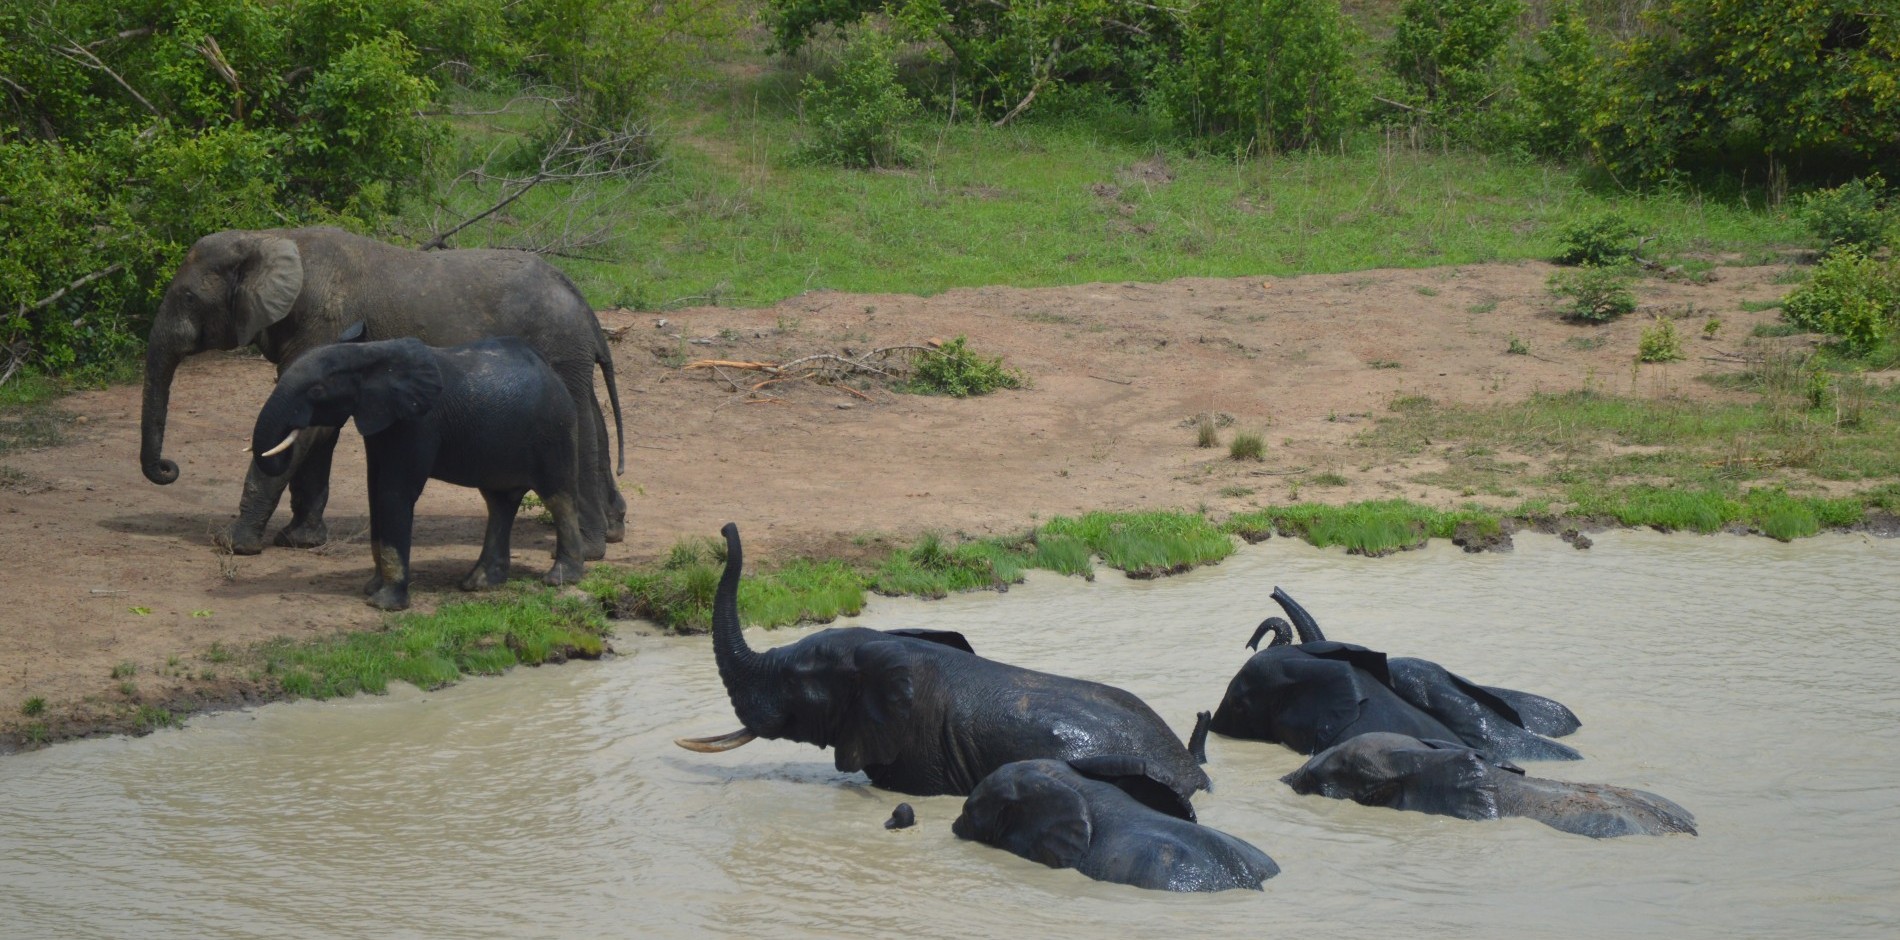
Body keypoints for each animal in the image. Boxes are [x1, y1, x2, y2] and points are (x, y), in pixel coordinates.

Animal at [139, 227, 625, 558]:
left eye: (187, 298)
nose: (168, 468)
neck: (267, 239)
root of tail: (580, 299)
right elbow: (317, 427)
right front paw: (300, 541)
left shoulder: (324, 324)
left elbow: (305, 429)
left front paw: (232, 544)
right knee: (595, 423)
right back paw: (612, 532)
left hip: (557, 347)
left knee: (580, 424)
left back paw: (588, 549)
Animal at [250, 333, 584, 610]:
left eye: (317, 390)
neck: (368, 353)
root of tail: (552, 373)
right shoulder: (381, 420)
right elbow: (374, 490)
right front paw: (371, 590)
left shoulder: (418, 422)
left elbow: (394, 492)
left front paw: (384, 605)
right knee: (500, 502)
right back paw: (477, 584)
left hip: (554, 432)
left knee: (558, 498)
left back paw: (559, 579)